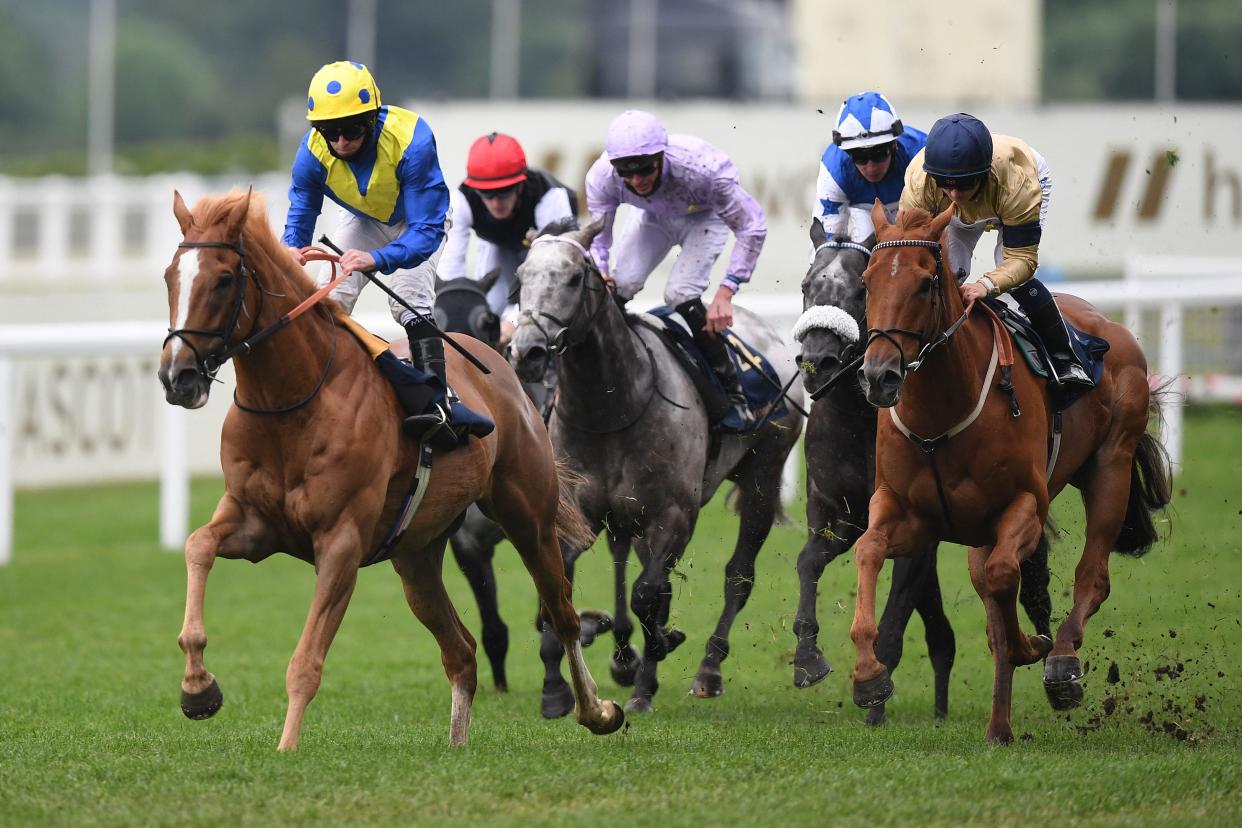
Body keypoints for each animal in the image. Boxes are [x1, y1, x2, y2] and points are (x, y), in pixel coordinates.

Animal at [155, 192, 621, 749]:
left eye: (225, 279)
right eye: (169, 276)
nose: (177, 377)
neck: (292, 404)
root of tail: (499, 365)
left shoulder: (341, 542)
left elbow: (306, 663)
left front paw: (286, 750)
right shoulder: (254, 524)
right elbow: (196, 546)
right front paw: (197, 689)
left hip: (527, 516)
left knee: (562, 615)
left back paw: (598, 710)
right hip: (416, 554)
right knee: (461, 652)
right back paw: (457, 746)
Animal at [506, 218, 804, 715]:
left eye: (573, 278)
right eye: (520, 277)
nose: (526, 350)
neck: (610, 408)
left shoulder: (672, 515)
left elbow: (648, 594)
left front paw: (647, 681)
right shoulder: (576, 511)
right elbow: (559, 585)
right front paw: (555, 688)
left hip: (764, 472)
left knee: (736, 576)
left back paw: (706, 669)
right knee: (632, 564)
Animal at [794, 222, 1048, 724]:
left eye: (858, 290)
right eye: (806, 285)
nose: (816, 363)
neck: (858, 419)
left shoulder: (916, 530)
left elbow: (895, 618)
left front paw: (874, 698)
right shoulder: (838, 513)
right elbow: (808, 562)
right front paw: (808, 656)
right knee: (941, 629)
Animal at [849, 202, 1167, 744]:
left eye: (925, 283)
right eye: (868, 281)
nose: (878, 376)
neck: (940, 414)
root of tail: (1112, 326)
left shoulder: (1024, 505)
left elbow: (1005, 582)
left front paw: (1036, 648)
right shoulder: (908, 513)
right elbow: (868, 549)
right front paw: (869, 676)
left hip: (1111, 465)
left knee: (1092, 576)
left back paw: (1061, 662)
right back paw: (999, 724)